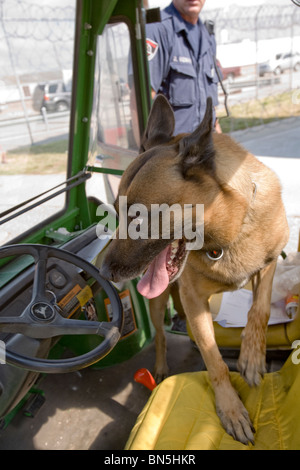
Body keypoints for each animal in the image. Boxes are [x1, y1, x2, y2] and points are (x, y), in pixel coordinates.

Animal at [99, 94, 290, 444]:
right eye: (116, 211)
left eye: (138, 217)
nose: (104, 273)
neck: (227, 235)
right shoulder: (195, 302)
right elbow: (214, 360)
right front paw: (230, 409)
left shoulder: (269, 264)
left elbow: (259, 309)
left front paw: (252, 357)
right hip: (158, 302)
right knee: (161, 337)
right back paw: (161, 367)